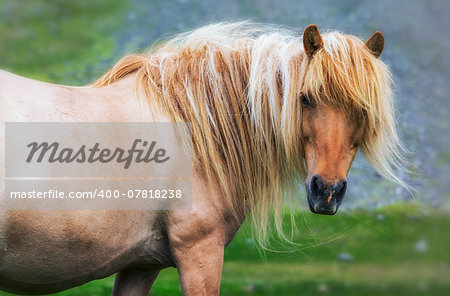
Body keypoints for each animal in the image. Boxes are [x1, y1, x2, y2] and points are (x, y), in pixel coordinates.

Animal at [0, 22, 406, 294]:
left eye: (364, 110)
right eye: (305, 98)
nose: (327, 192)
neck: (196, 132)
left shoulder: (137, 266)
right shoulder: (200, 253)